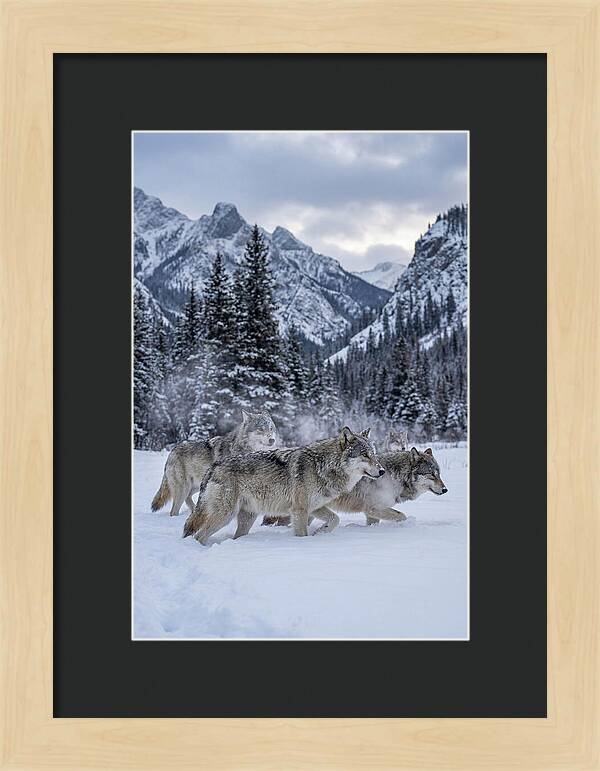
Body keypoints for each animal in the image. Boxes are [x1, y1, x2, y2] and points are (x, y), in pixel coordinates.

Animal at [182, 426, 385, 543]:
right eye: (365, 455)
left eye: (374, 454)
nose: (382, 471)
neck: (324, 465)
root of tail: (213, 467)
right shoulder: (300, 510)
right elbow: (302, 533)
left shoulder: (315, 507)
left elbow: (335, 519)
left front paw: (321, 532)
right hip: (225, 515)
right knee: (199, 535)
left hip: (247, 518)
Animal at [263, 446, 447, 528]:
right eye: (431, 474)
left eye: (439, 473)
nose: (445, 490)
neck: (395, 477)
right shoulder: (373, 508)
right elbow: (401, 516)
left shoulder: (372, 513)